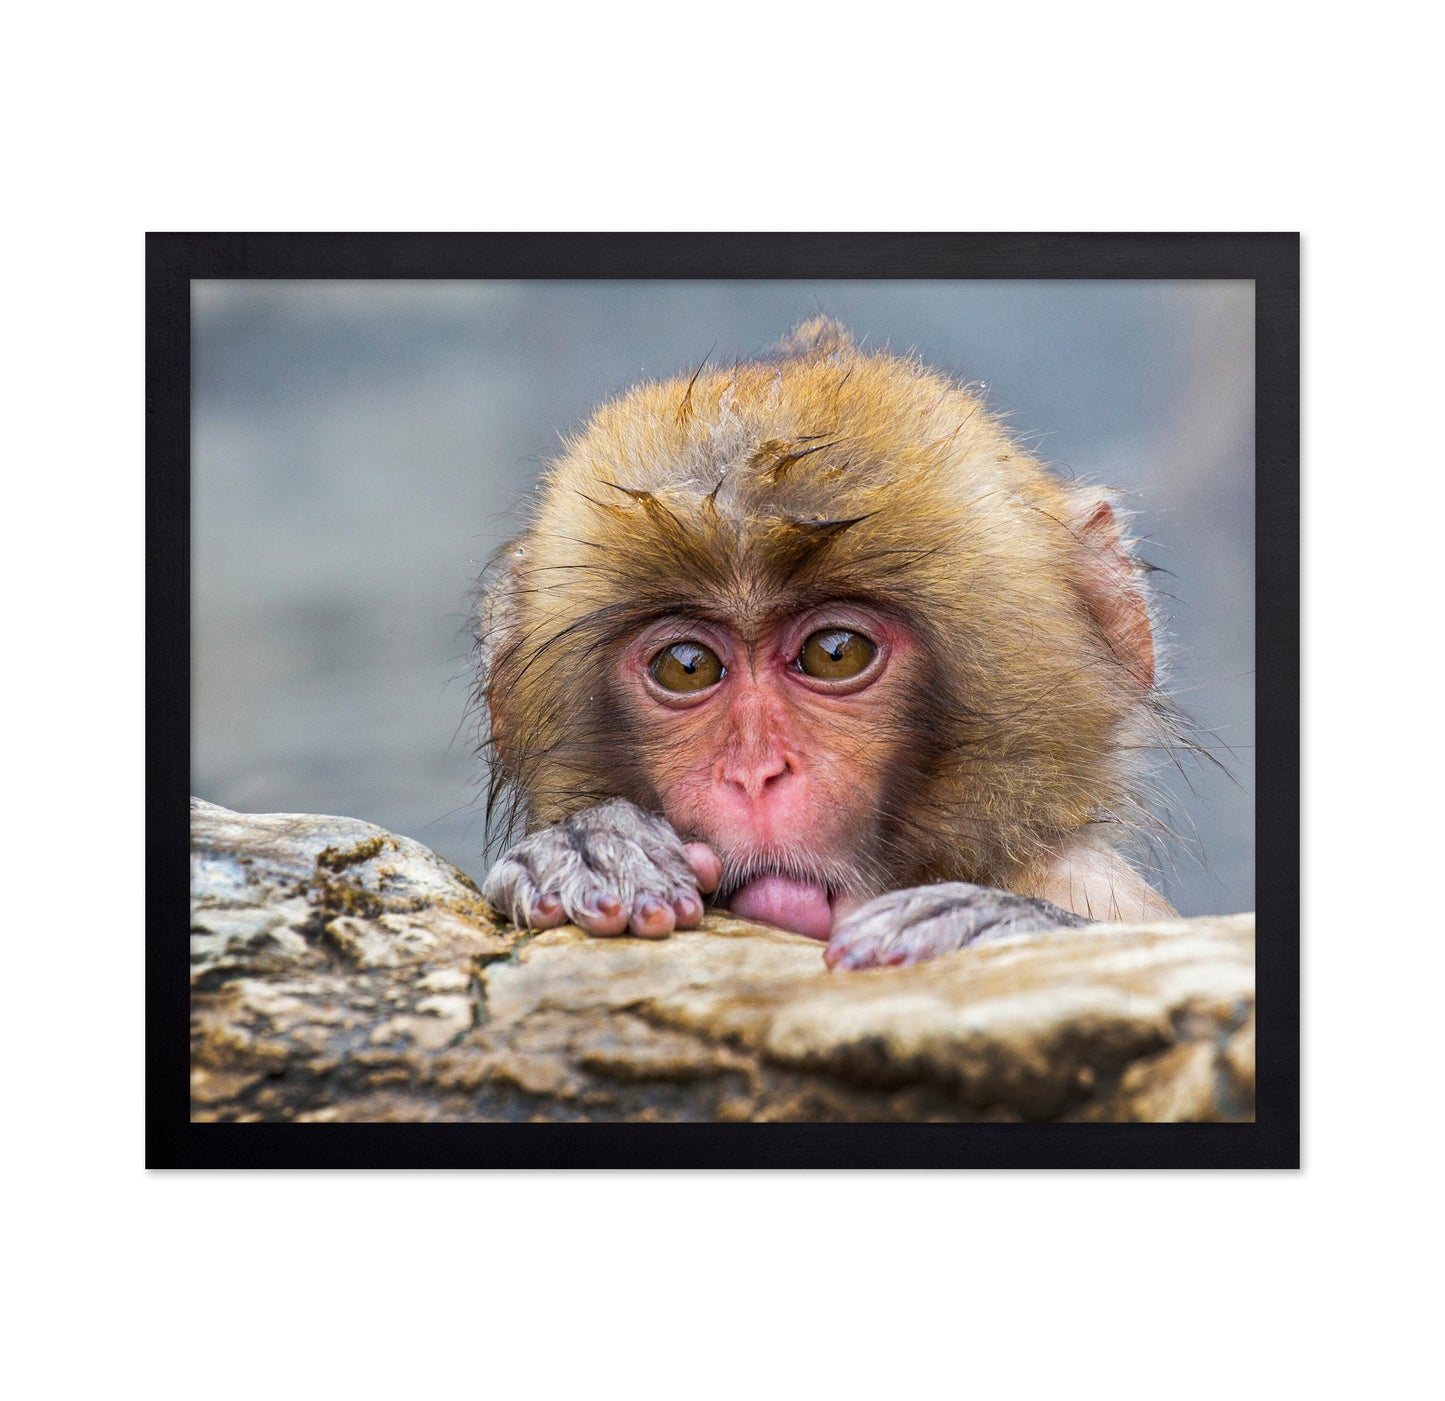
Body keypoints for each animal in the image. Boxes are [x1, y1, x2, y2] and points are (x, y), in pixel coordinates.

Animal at [475, 318, 1181, 970]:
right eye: (687, 666)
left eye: (834, 653)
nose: (754, 775)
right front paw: (587, 846)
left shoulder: (1093, 885)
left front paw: (995, 926)